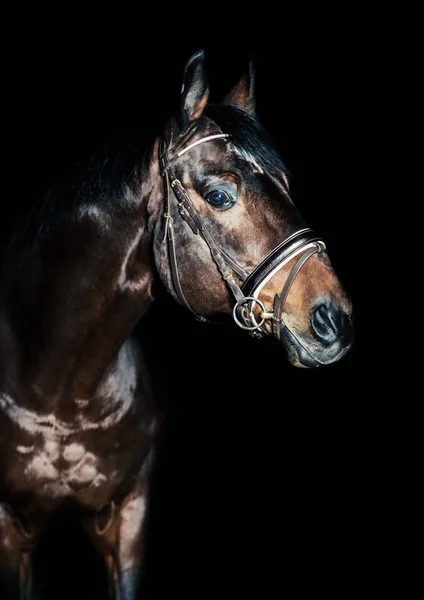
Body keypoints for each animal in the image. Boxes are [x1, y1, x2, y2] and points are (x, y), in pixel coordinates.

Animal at [0, 48, 354, 600]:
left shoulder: (129, 518)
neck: (60, 392)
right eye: (220, 195)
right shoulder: (10, 530)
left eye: (286, 186)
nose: (333, 318)